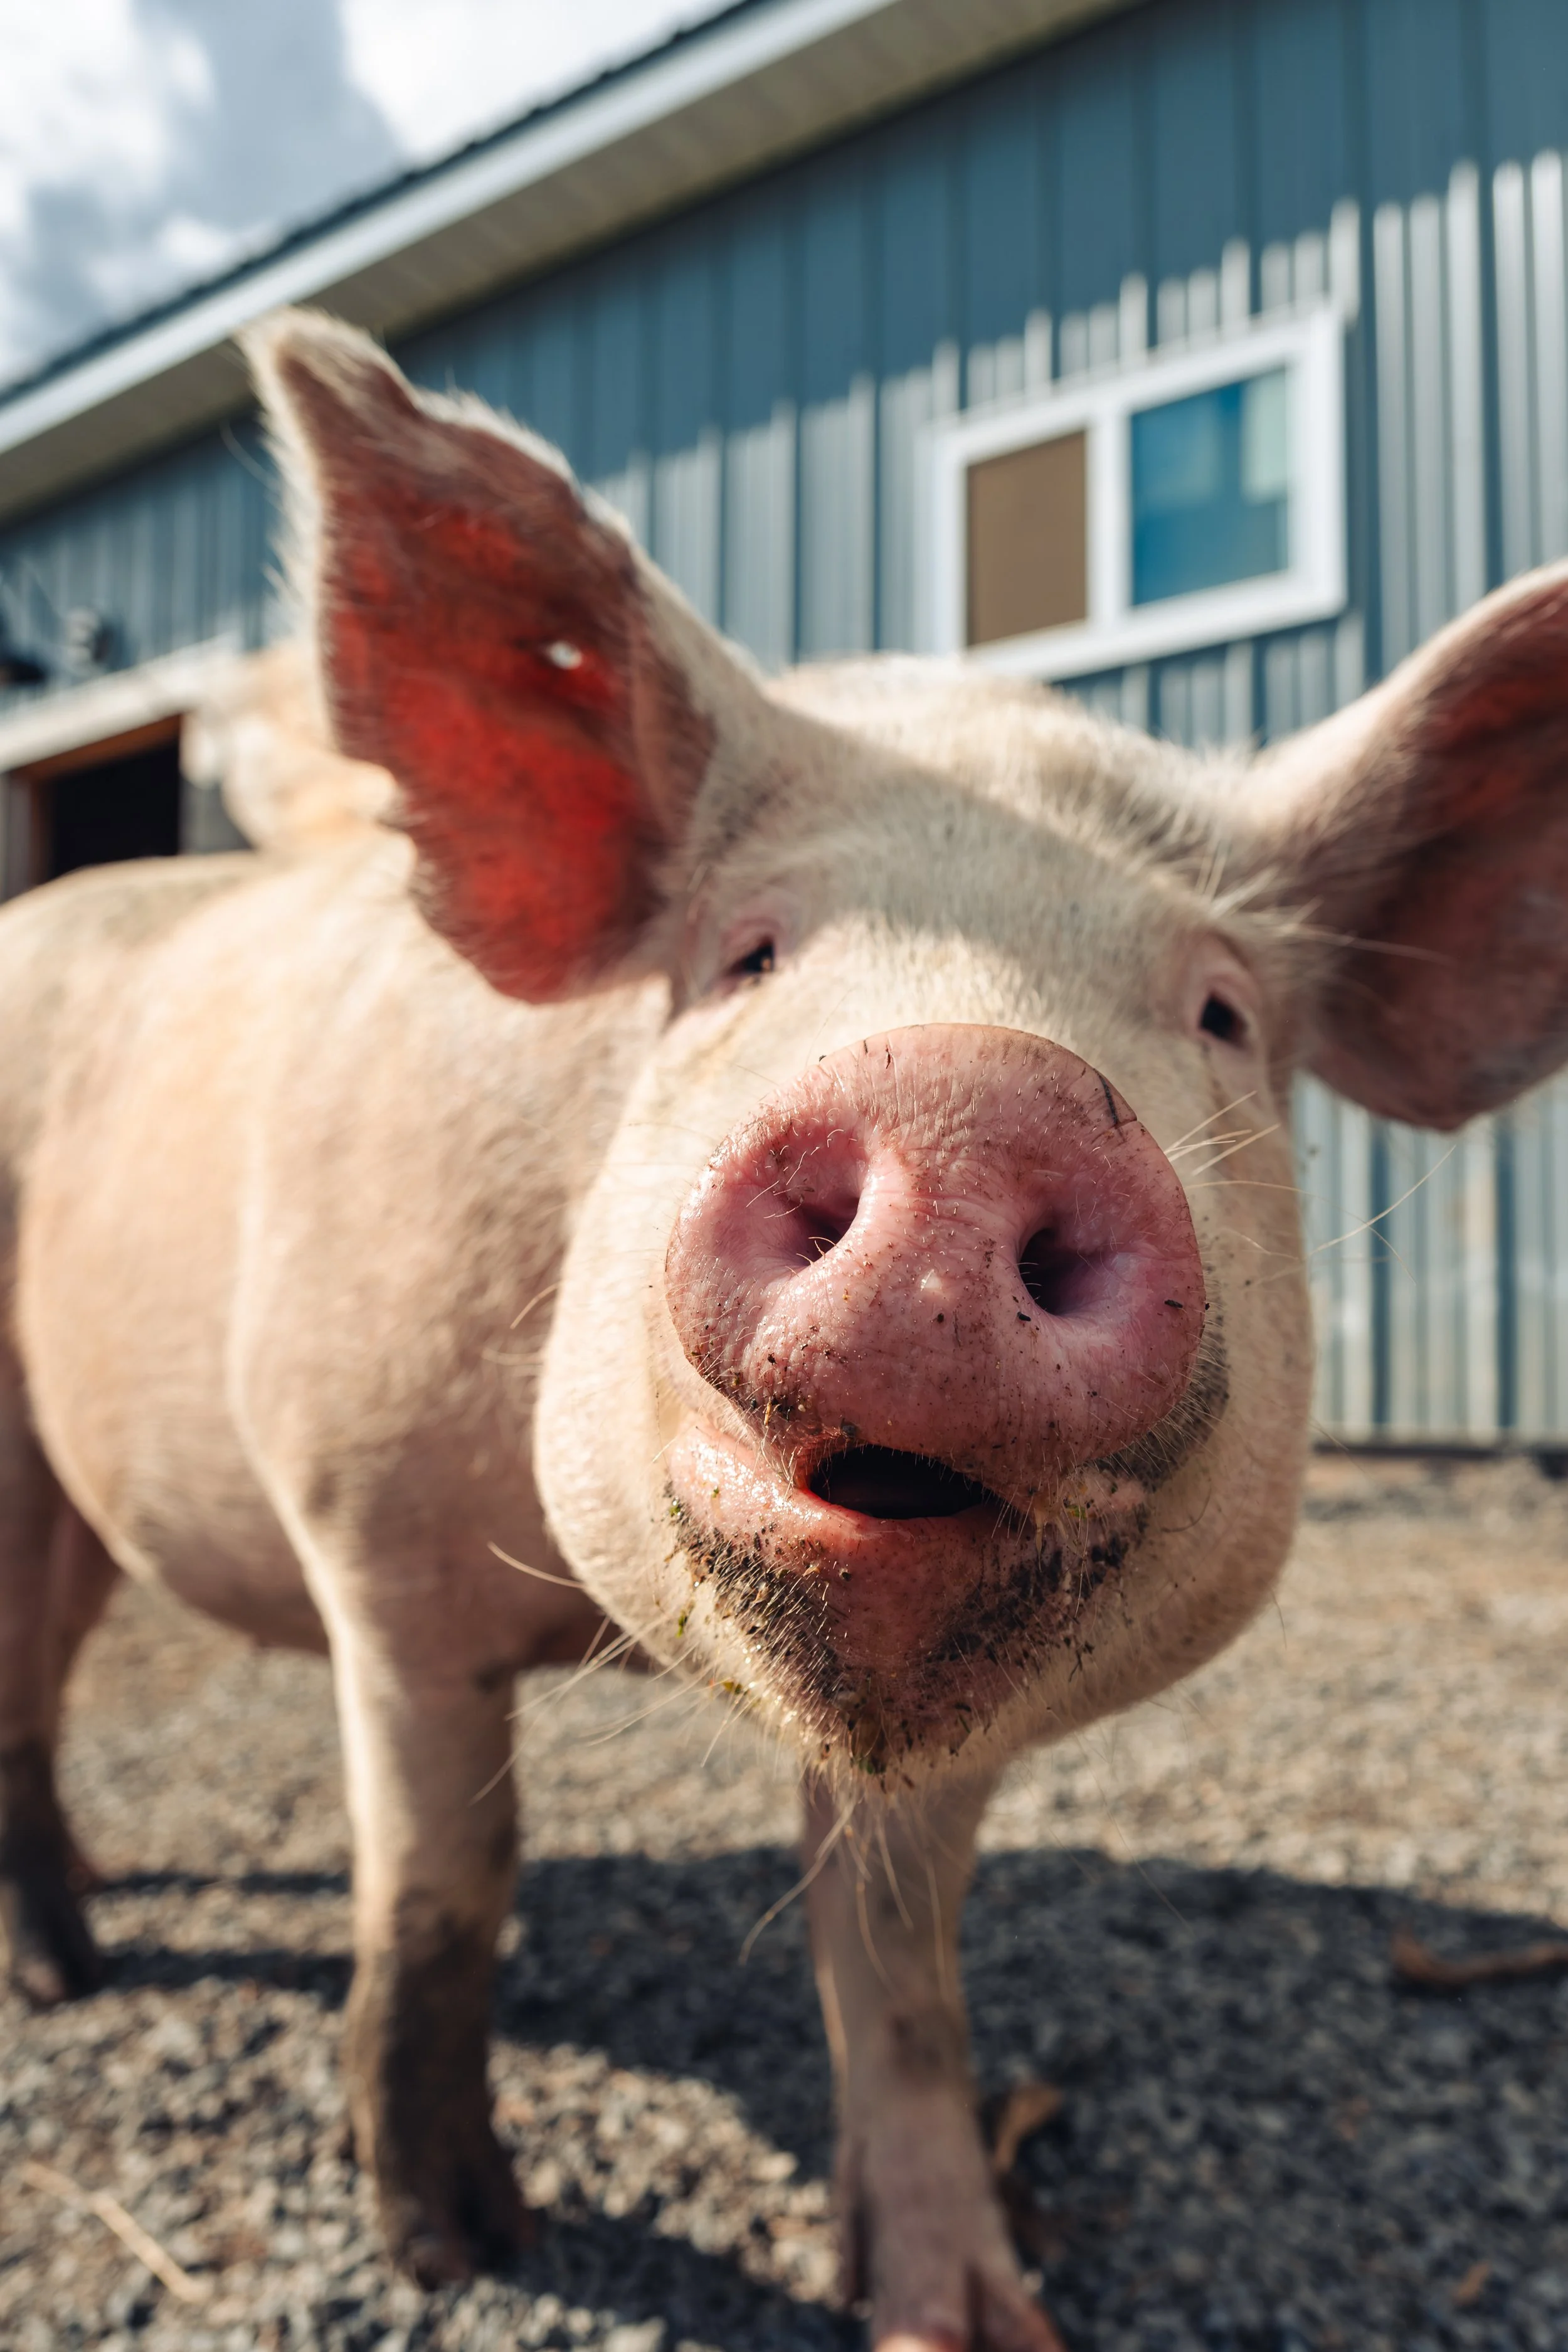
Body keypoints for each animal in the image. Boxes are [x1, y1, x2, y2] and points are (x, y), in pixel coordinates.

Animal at [3, 307, 1568, 2352]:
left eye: (1224, 1011)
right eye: (741, 955)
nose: (976, 1094)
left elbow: (894, 1966)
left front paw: (963, 2316)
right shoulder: (371, 1537)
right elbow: (442, 1883)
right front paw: (457, 2244)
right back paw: (68, 1974)